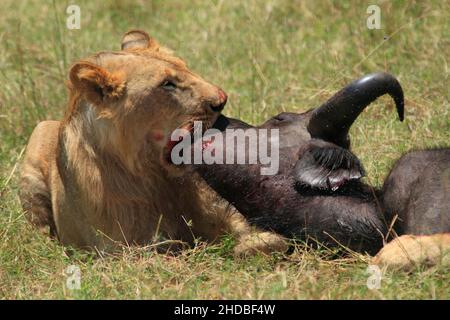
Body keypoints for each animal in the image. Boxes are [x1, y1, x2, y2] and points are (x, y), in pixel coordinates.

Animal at [19, 30, 286, 255]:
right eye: (167, 84)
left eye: (186, 67)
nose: (222, 100)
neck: (155, 178)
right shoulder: (126, 250)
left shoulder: (223, 207)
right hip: (37, 139)